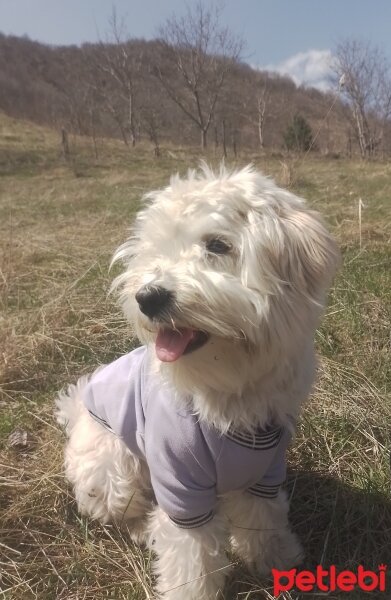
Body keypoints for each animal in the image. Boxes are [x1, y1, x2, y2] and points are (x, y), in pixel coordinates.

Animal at [56, 164, 340, 600]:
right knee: (120, 507)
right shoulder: (180, 485)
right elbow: (189, 552)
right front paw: (192, 589)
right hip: (113, 467)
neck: (229, 388)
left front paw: (276, 559)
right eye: (155, 249)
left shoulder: (265, 470)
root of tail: (75, 407)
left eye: (218, 245)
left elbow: (264, 519)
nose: (148, 297)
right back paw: (142, 529)